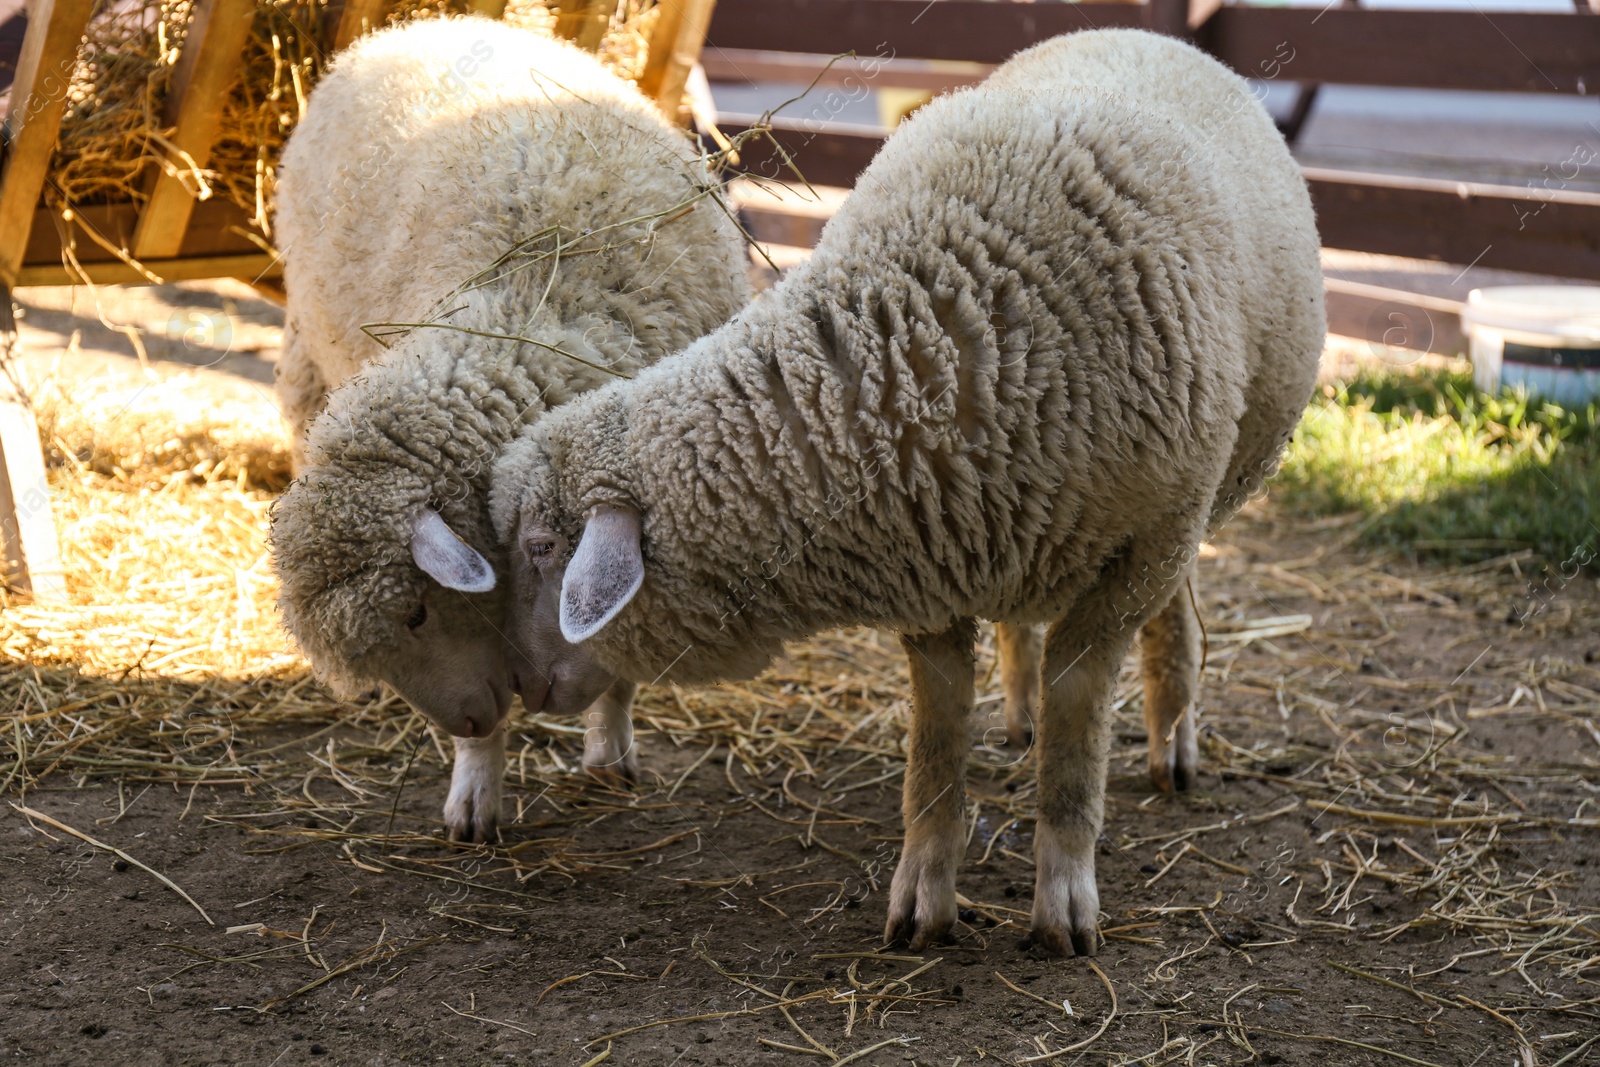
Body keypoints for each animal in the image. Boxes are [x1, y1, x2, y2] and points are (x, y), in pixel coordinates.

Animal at [265, 16, 752, 844]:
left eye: (417, 610)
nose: (467, 716)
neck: (533, 301)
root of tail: (428, 23)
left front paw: (610, 746)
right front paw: (475, 785)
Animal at [489, 29, 1324, 953]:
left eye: (541, 548)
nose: (513, 686)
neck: (927, 353)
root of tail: (1141, 34)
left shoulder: (1122, 563)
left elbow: (1076, 743)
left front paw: (1064, 902)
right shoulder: (933, 561)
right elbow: (936, 739)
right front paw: (924, 895)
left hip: (1187, 499)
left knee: (1175, 608)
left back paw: (1173, 736)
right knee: (1026, 622)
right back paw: (1022, 710)